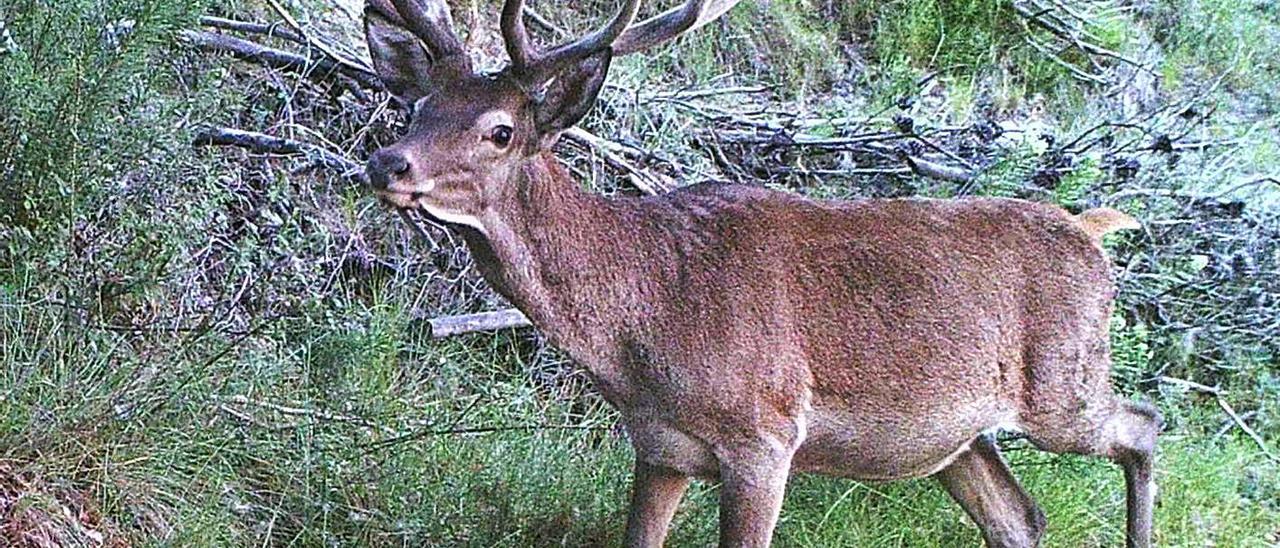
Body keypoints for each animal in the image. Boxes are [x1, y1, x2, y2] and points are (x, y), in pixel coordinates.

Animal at [358, 2, 1162, 545]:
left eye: (499, 131)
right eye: (419, 106)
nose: (387, 162)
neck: (642, 324)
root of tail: (1091, 231)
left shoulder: (765, 436)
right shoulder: (659, 448)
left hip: (1063, 384)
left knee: (1143, 424)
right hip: (956, 438)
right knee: (1021, 516)